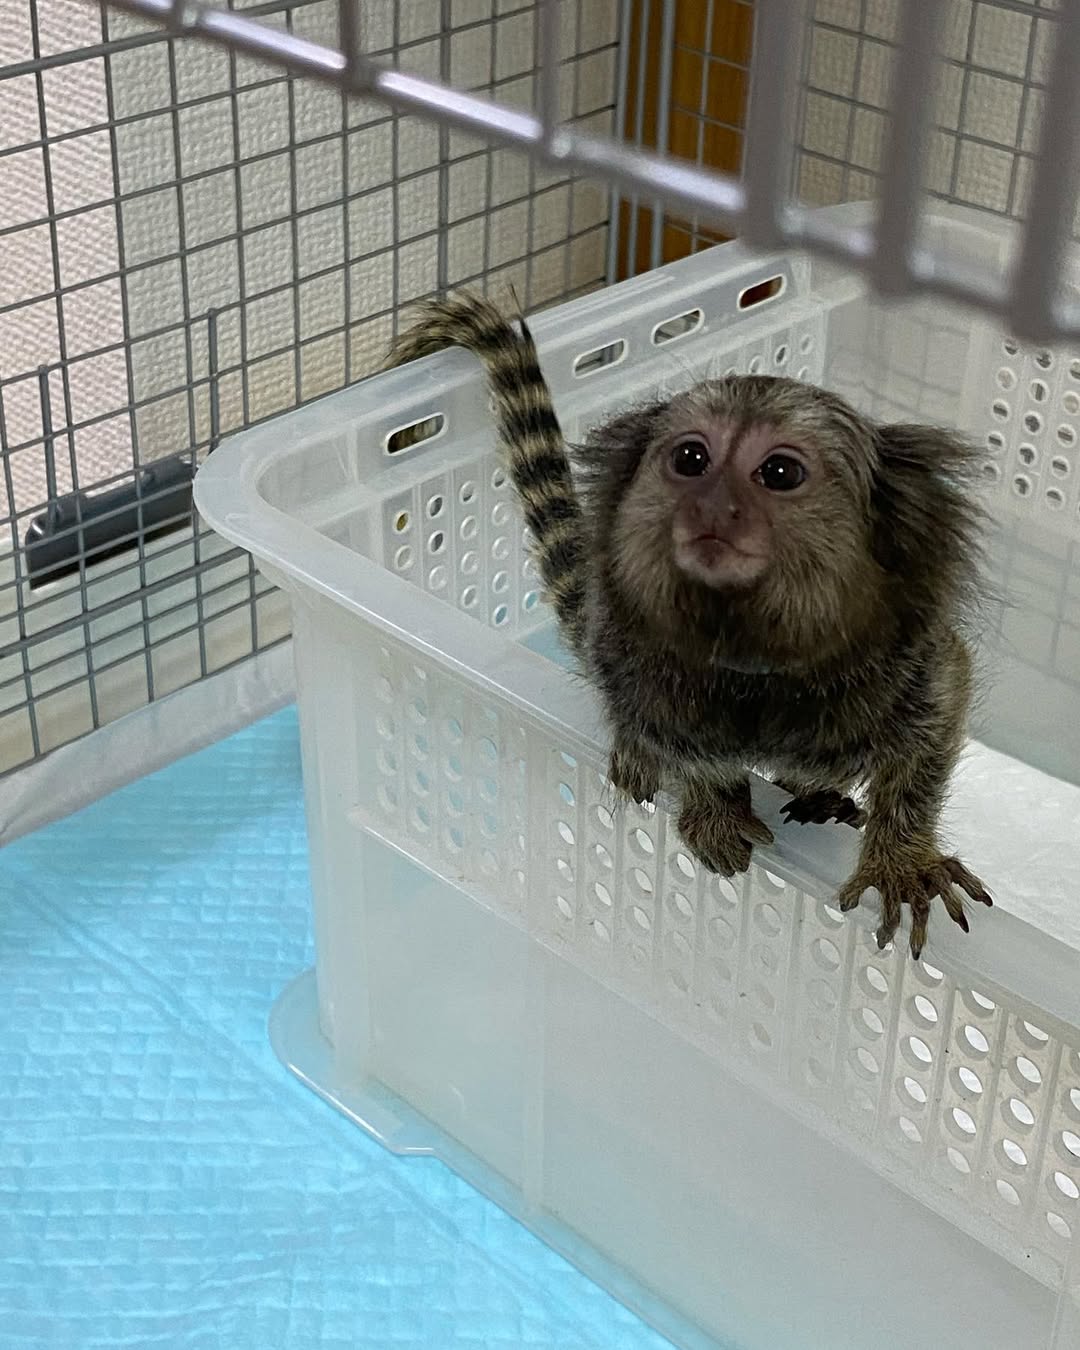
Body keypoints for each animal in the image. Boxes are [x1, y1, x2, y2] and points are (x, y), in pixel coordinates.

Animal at [385, 292, 992, 959]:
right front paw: (715, 808)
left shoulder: (906, 661)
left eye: (779, 473)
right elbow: (681, 745)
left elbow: (936, 725)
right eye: (691, 459)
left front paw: (901, 861)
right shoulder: (641, 664)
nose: (712, 507)